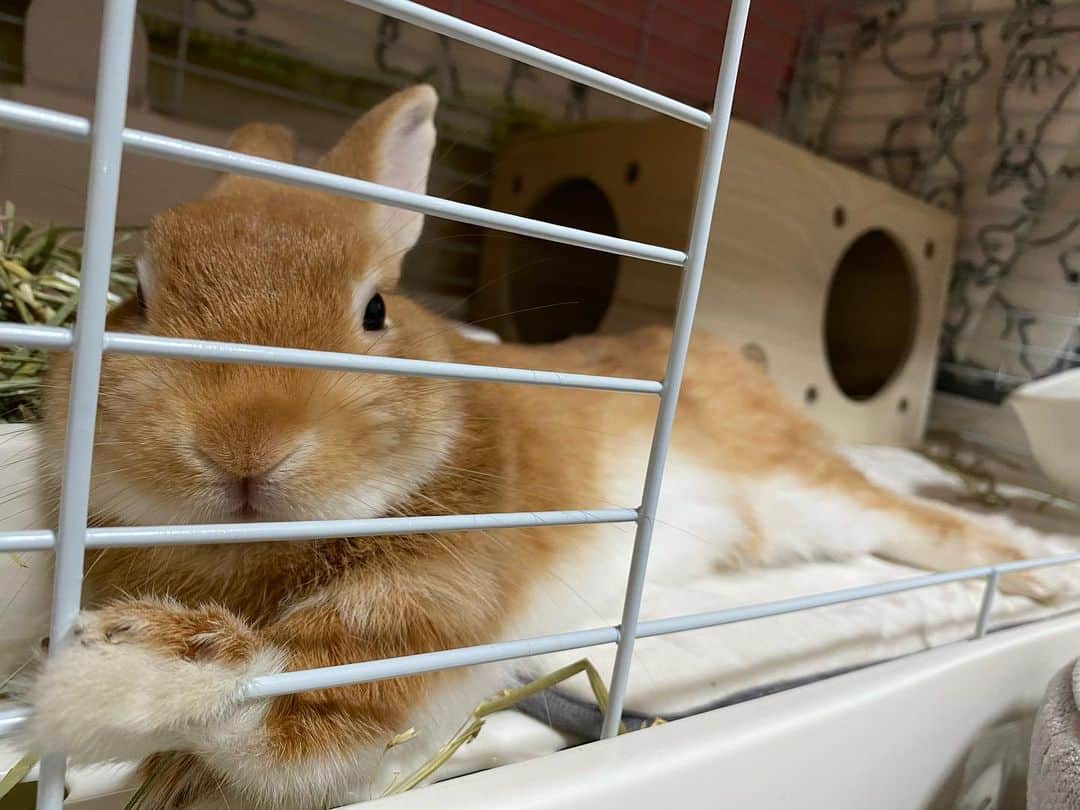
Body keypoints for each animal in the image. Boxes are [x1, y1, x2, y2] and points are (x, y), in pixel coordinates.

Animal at [18, 84, 1080, 809]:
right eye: (139, 293)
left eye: (375, 311)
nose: (245, 444)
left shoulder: (439, 587)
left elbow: (305, 689)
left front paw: (121, 667)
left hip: (804, 484)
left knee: (926, 524)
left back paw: (1037, 572)